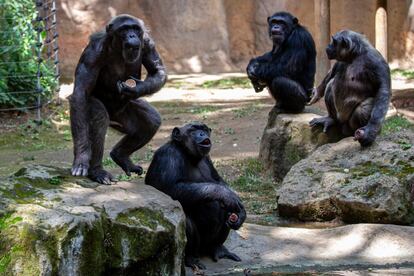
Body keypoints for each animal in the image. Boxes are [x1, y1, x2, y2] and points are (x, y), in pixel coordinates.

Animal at [69, 14, 167, 183]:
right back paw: (97, 171)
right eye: (124, 29)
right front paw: (81, 159)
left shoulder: (148, 43)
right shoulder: (92, 54)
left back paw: (120, 156)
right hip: (100, 111)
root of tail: (114, 117)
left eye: (135, 28)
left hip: (124, 114)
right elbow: (81, 93)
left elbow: (157, 70)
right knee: (99, 118)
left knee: (151, 120)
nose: (132, 35)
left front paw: (136, 88)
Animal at [145, 123, 246, 270]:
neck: (189, 154)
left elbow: (219, 179)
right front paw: (225, 194)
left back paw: (219, 249)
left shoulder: (208, 159)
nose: (202, 134)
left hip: (208, 244)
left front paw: (241, 212)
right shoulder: (168, 156)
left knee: (225, 212)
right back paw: (192, 259)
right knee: (185, 221)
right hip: (197, 246)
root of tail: (203, 250)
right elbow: (170, 189)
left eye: (204, 129)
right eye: (193, 130)